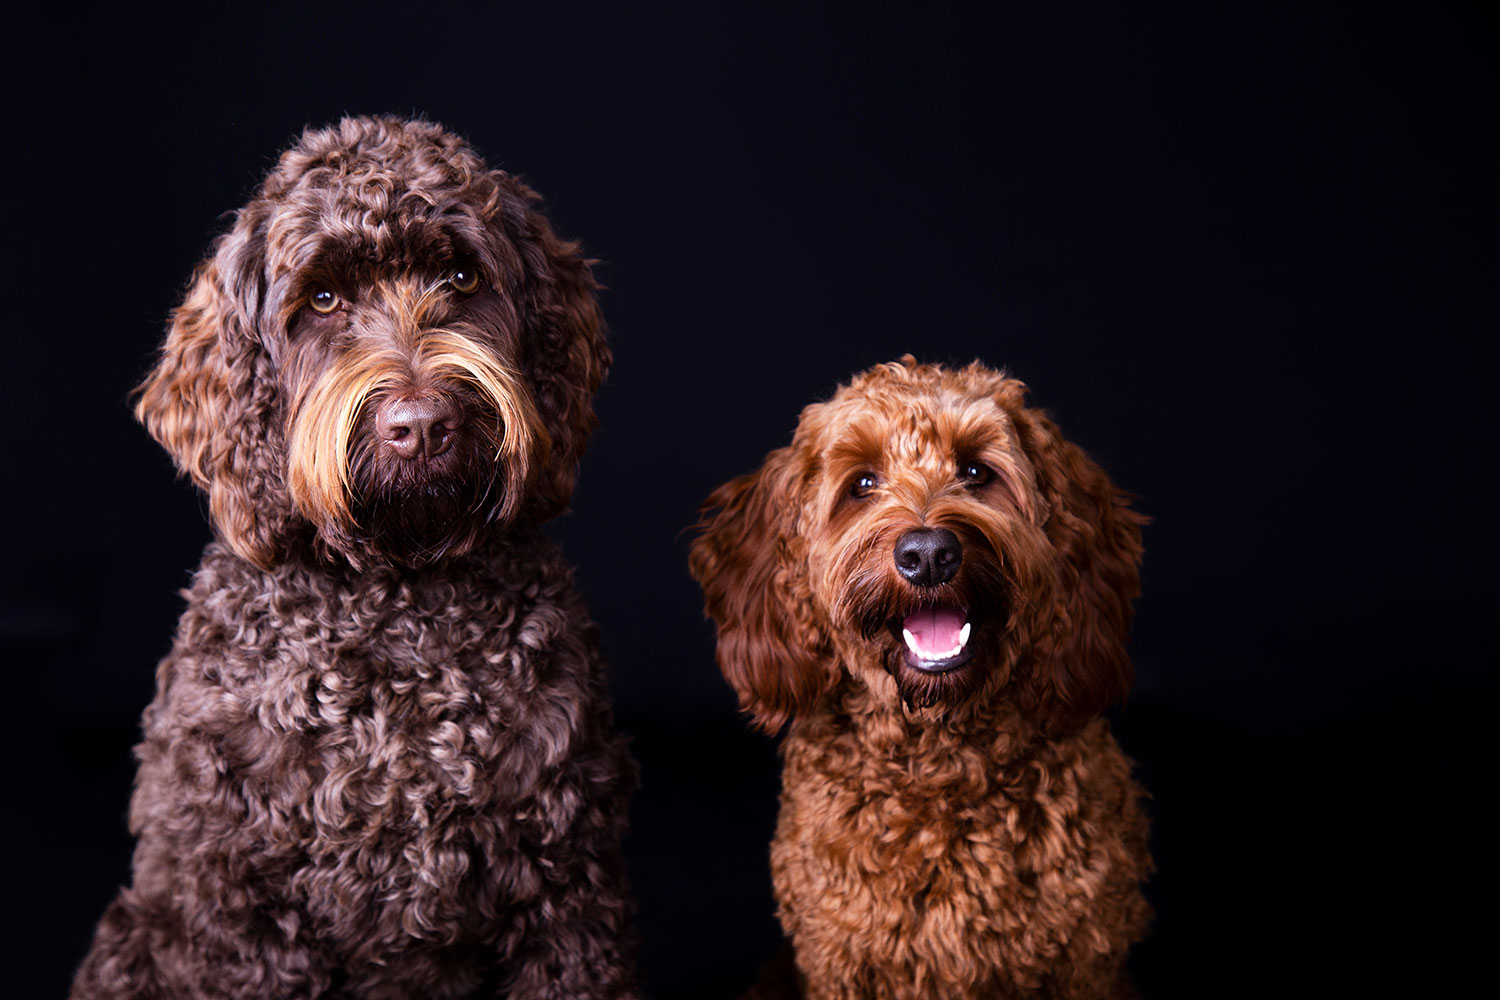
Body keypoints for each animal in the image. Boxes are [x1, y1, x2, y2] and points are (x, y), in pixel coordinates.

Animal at [73, 115, 636, 1000]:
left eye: (462, 275)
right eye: (323, 299)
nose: (423, 423)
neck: (396, 601)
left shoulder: (566, 887)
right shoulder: (241, 912)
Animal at [687, 359, 1146, 1000]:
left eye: (976, 471)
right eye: (862, 484)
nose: (928, 554)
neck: (937, 762)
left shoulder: (1085, 963)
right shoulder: (840, 964)